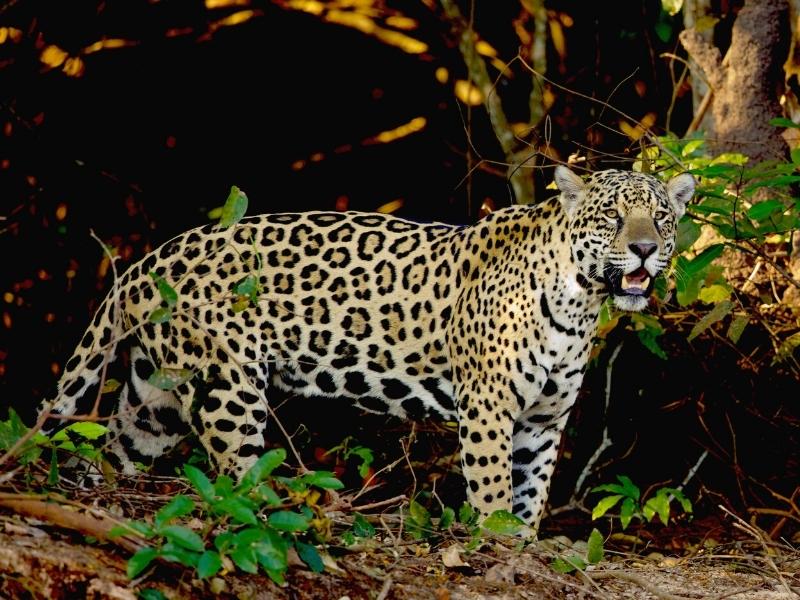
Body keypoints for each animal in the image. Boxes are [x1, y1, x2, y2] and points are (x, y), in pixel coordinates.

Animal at [41, 166, 694, 532]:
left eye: (661, 219)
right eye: (612, 218)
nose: (643, 249)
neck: (579, 301)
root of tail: (148, 259)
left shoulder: (543, 418)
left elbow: (532, 492)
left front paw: (526, 547)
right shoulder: (489, 405)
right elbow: (492, 487)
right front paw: (495, 540)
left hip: (155, 398)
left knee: (112, 450)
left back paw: (94, 495)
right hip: (227, 387)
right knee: (235, 475)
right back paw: (275, 516)